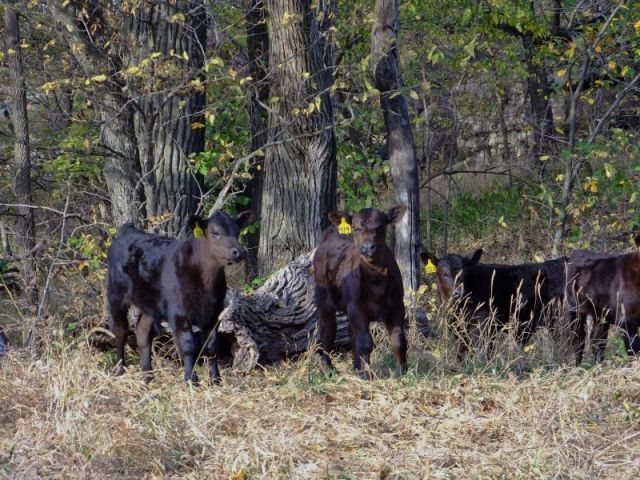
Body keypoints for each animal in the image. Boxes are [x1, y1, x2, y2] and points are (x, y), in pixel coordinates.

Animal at [107, 210, 254, 384]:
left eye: (237, 232)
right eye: (215, 233)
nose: (239, 251)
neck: (205, 283)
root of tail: (128, 231)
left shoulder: (214, 314)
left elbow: (211, 347)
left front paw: (216, 380)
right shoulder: (179, 313)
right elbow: (188, 345)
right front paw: (191, 380)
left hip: (151, 302)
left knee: (142, 333)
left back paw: (148, 376)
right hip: (116, 294)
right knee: (120, 330)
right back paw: (119, 369)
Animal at [313, 205, 408, 379]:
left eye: (381, 227)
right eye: (355, 228)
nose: (367, 247)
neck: (376, 278)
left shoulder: (398, 305)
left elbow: (399, 340)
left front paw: (401, 372)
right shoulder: (356, 307)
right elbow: (365, 342)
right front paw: (368, 375)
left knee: (352, 336)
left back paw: (356, 368)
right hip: (323, 300)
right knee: (326, 332)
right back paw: (328, 369)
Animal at [421, 250, 567, 360]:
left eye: (465, 274)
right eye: (444, 274)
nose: (458, 292)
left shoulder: (483, 326)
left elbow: (483, 351)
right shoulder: (459, 328)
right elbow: (462, 352)